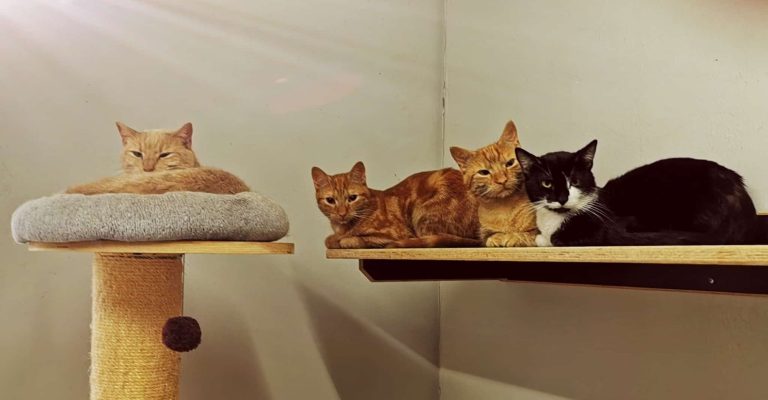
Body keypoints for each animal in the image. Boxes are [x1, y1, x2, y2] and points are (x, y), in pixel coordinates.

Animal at [312, 162, 480, 248]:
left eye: (352, 198)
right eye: (330, 200)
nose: (342, 213)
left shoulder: (392, 235)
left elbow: (351, 239)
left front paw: (342, 240)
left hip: (422, 217)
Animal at [515, 140, 764, 246]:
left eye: (574, 181)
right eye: (547, 183)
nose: (562, 198)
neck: (553, 221)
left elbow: (550, 239)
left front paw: (544, 239)